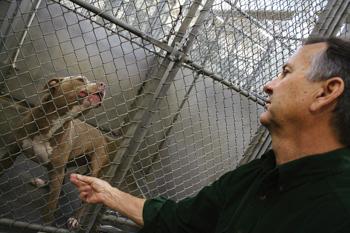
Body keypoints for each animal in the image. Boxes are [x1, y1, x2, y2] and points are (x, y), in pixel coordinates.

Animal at [0, 75, 117, 228]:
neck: (58, 120)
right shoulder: (11, 152)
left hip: (93, 169)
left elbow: (50, 208)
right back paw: (43, 183)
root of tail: (104, 137)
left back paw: (75, 219)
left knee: (82, 199)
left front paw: (44, 227)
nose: (103, 84)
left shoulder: (57, 171)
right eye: (81, 79)